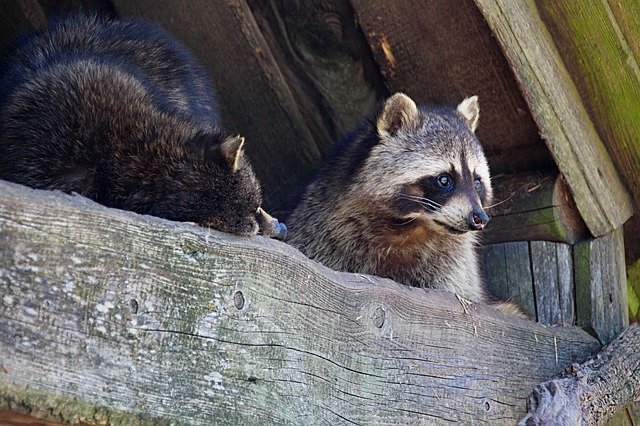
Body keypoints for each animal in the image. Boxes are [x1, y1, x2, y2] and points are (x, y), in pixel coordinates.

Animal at [288, 93, 524, 312]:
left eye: (477, 182)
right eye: (444, 180)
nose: (479, 218)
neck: (409, 226)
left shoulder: (453, 262)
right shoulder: (325, 234)